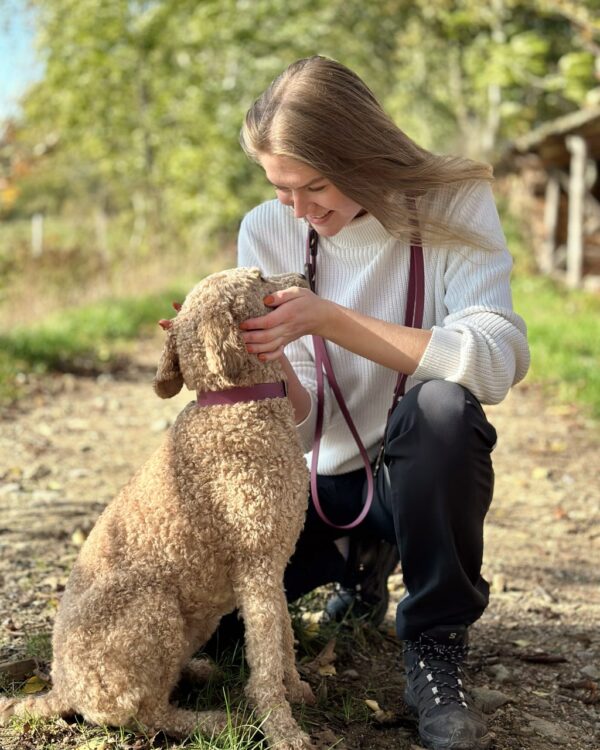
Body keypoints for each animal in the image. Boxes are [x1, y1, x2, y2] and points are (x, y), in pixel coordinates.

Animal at [0, 270, 316, 750]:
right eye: (260, 277)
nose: (303, 275)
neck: (237, 404)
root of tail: (62, 689)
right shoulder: (257, 568)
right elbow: (265, 661)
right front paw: (282, 729)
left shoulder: (273, 565)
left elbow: (285, 639)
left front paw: (295, 689)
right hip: (151, 608)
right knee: (144, 715)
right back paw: (212, 722)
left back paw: (197, 671)